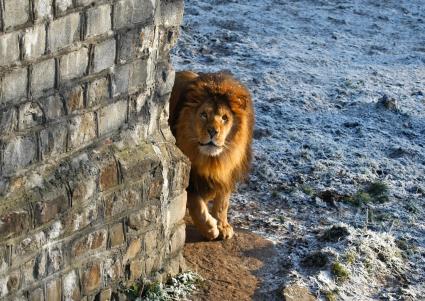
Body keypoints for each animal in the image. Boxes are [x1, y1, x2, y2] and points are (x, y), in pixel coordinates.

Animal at [168, 71, 253, 239]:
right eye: (203, 115)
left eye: (225, 118)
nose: (213, 131)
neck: (212, 160)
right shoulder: (190, 176)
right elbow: (195, 203)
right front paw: (209, 228)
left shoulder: (227, 171)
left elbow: (223, 202)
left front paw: (223, 226)